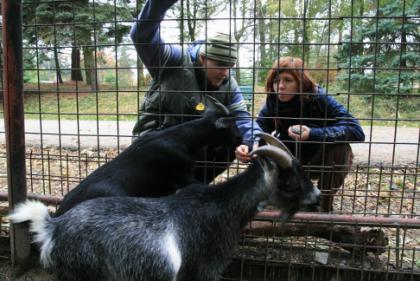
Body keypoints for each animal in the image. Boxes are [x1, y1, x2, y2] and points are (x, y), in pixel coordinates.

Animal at [9, 134, 320, 280]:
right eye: (290, 180)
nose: (316, 195)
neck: (222, 206)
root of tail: (53, 227)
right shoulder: (204, 268)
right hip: (88, 272)